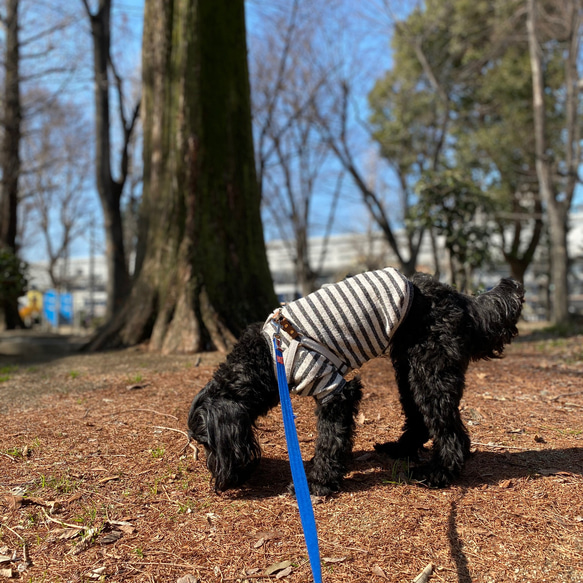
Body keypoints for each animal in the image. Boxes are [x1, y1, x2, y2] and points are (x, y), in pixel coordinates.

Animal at [187, 274, 524, 498]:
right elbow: (338, 437)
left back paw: (438, 473)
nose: (217, 482)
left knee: (450, 431)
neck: (269, 355)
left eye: (205, 442)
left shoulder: (334, 390)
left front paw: (318, 482)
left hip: (431, 369)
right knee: (422, 419)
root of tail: (463, 301)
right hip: (408, 367)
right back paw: (400, 449)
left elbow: (330, 438)